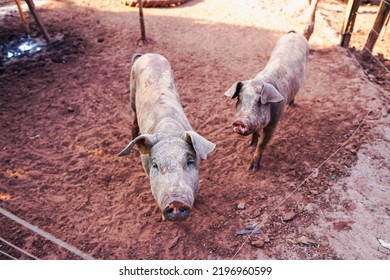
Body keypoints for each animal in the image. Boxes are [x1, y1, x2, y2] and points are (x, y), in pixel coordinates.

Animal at [119, 53, 216, 221]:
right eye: (155, 165)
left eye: (190, 161)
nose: (176, 202)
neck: (168, 131)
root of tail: (147, 54)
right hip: (131, 91)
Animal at [224, 30, 310, 171]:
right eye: (240, 99)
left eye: (260, 102)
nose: (240, 121)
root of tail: (295, 33)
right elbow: (256, 134)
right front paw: (250, 144)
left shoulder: (274, 122)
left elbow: (262, 144)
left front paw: (252, 169)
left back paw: (292, 105)